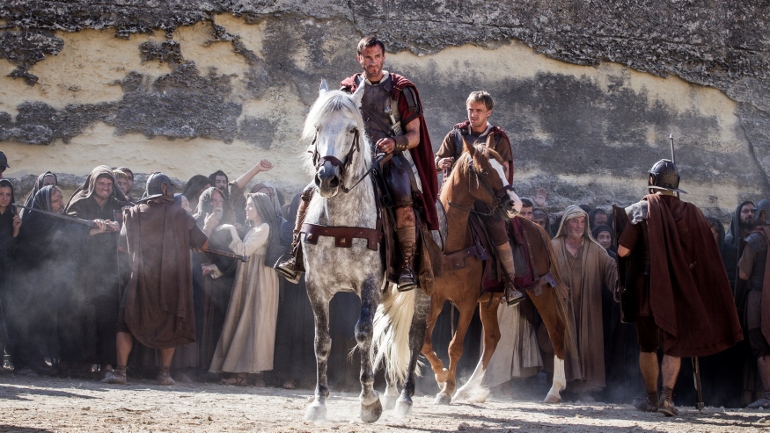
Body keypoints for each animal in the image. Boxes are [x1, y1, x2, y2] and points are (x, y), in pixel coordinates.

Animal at [420, 138, 576, 404]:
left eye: (503, 168)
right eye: (484, 172)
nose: (515, 203)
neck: (453, 242)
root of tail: (536, 227)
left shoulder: (467, 301)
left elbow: (455, 346)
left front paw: (447, 388)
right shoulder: (437, 298)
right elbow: (426, 342)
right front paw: (441, 377)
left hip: (540, 289)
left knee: (556, 329)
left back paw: (555, 390)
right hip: (491, 300)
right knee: (493, 339)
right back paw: (467, 389)